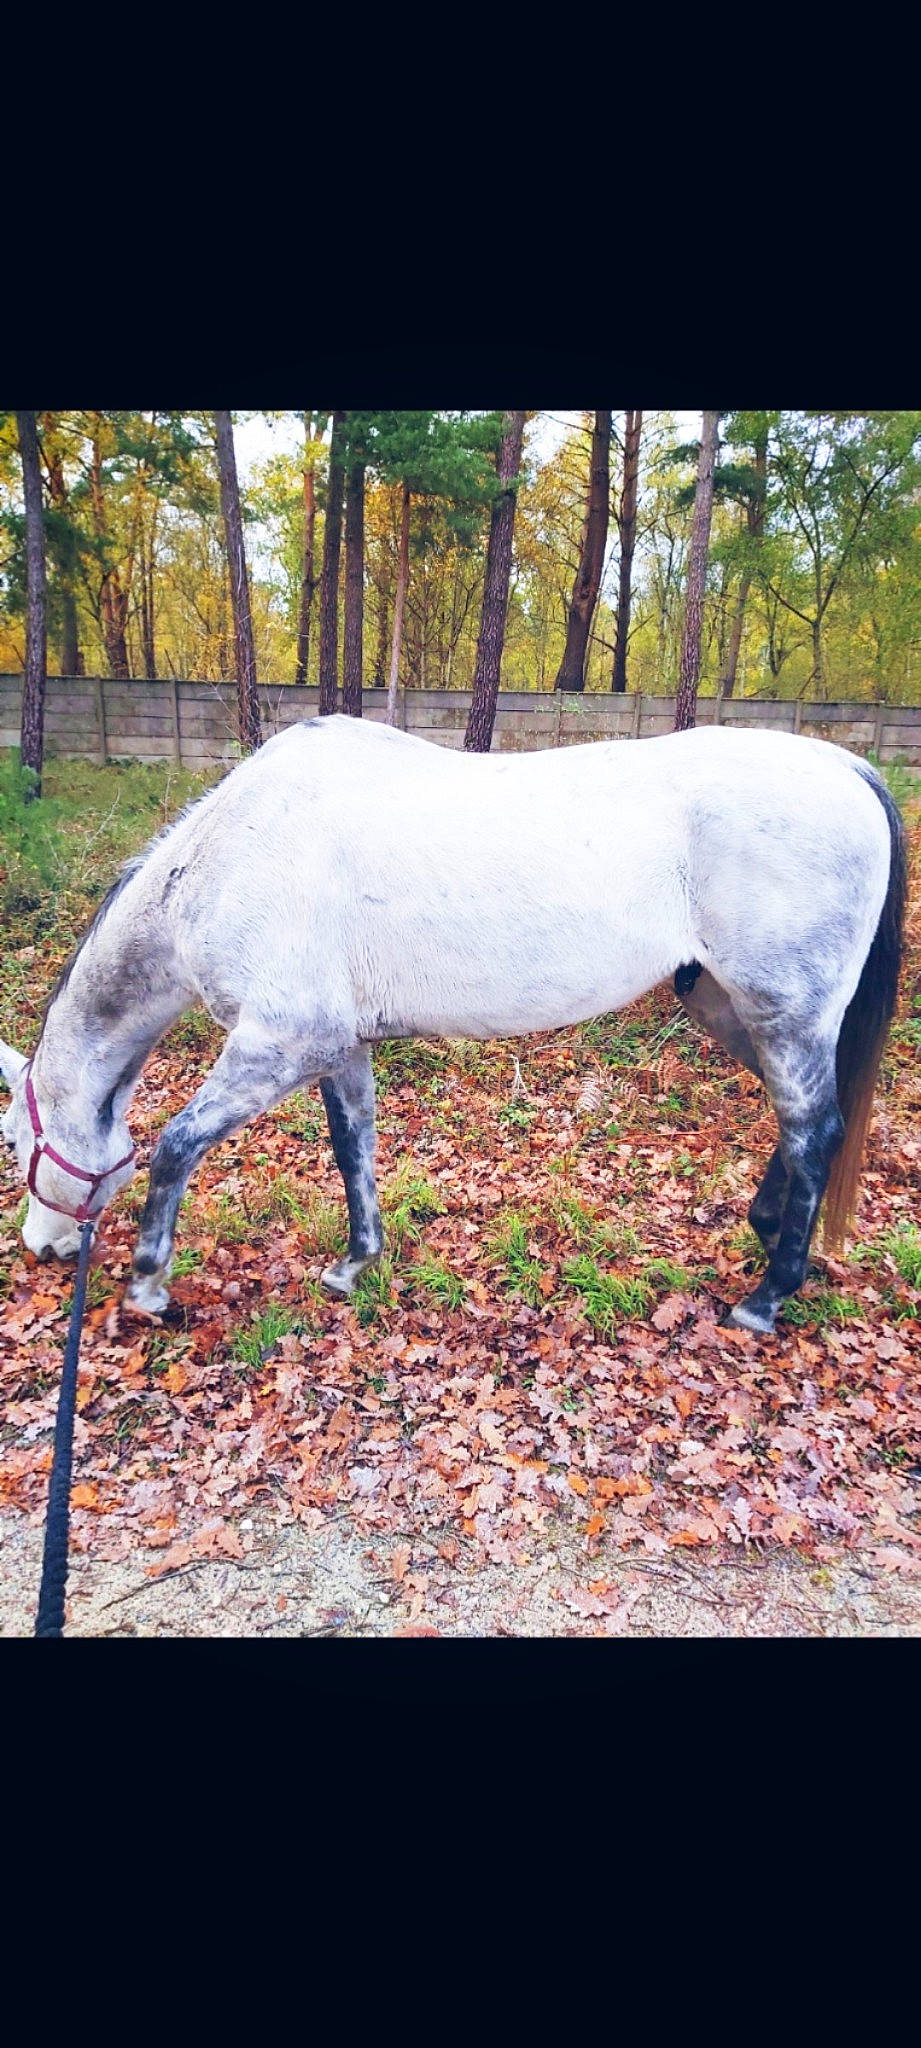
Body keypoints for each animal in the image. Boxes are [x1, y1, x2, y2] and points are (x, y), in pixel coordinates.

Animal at [0, 714, 906, 1336]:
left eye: (14, 1141)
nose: (40, 1248)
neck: (223, 862)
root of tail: (844, 765)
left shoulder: (278, 1044)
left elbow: (175, 1147)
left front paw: (150, 1287)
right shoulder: (339, 1046)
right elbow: (353, 1151)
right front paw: (354, 1264)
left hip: (782, 1013)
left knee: (814, 1131)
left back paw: (765, 1298)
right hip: (728, 1008)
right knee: (799, 1124)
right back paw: (766, 1237)